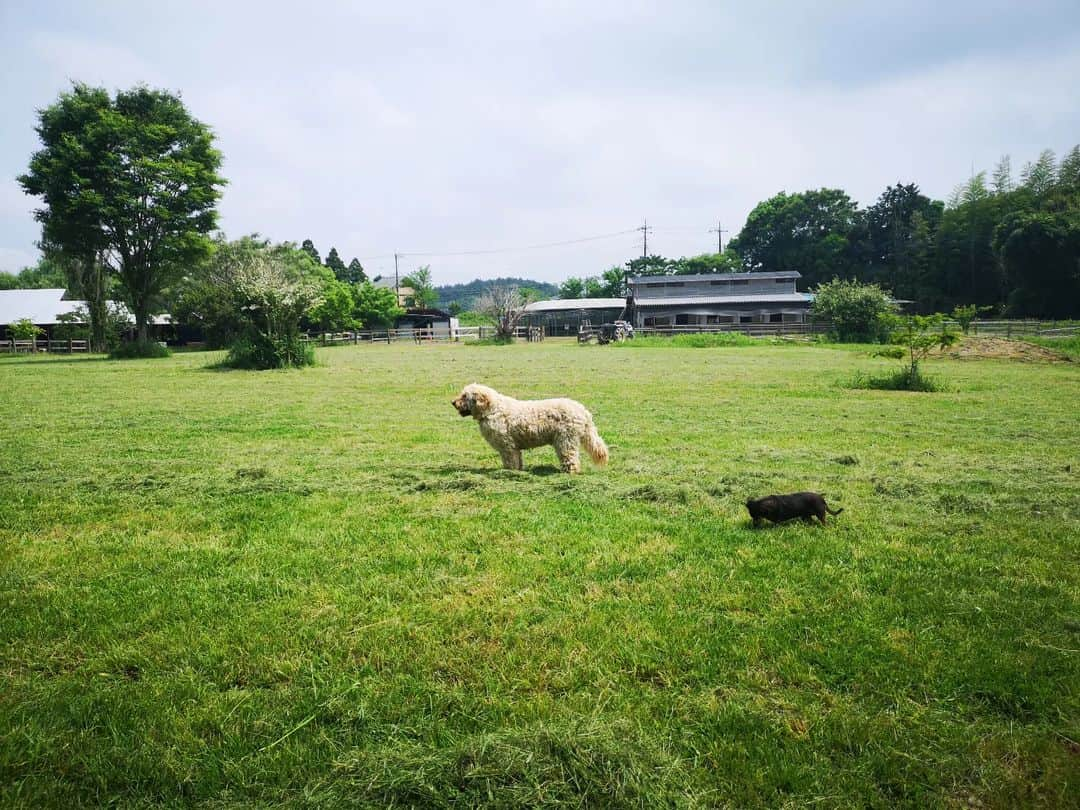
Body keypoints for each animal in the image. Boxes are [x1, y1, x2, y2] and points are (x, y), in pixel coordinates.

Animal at [453, 384, 613, 473]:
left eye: (464, 396)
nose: (453, 402)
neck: (492, 410)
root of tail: (582, 410)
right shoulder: (514, 447)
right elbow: (518, 461)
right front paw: (518, 472)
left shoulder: (507, 447)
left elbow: (510, 462)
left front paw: (509, 473)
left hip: (565, 441)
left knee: (571, 459)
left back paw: (569, 472)